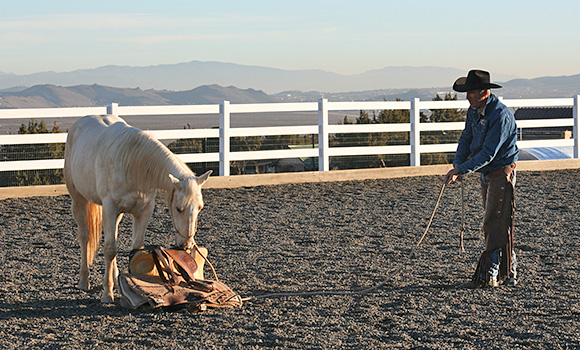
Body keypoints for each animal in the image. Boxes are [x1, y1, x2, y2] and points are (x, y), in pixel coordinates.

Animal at [65, 115, 211, 304]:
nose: (186, 245)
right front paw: (107, 293)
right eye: (178, 209)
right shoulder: (110, 208)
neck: (133, 162)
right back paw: (84, 281)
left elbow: (135, 248)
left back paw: (115, 277)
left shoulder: (144, 211)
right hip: (79, 201)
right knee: (84, 237)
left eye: (200, 208)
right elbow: (110, 249)